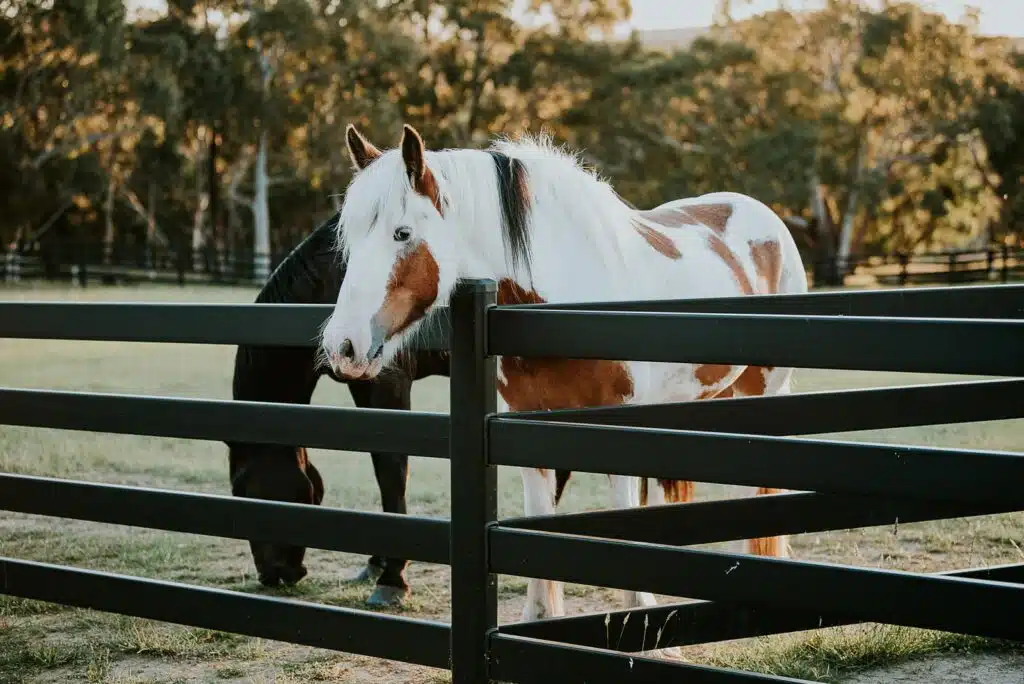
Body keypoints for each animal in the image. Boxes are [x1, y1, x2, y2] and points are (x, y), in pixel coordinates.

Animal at [228, 214, 449, 606]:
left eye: (242, 490)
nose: (273, 575)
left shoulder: (387, 382)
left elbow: (392, 472)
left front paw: (391, 579)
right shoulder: (361, 385)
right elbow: (380, 468)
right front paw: (377, 564)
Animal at [318, 123, 808, 627]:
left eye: (402, 233)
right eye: (350, 238)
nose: (343, 346)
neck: (564, 305)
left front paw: (638, 609)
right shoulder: (523, 425)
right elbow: (539, 516)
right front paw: (539, 615)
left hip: (761, 392)